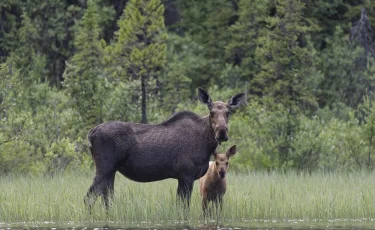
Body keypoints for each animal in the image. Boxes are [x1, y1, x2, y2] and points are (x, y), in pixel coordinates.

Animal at [83, 87, 245, 210]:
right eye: (211, 112)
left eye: (228, 112)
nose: (222, 132)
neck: (206, 146)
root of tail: (91, 134)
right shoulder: (186, 174)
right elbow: (183, 206)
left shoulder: (182, 177)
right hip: (104, 168)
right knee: (89, 198)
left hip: (111, 170)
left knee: (106, 198)